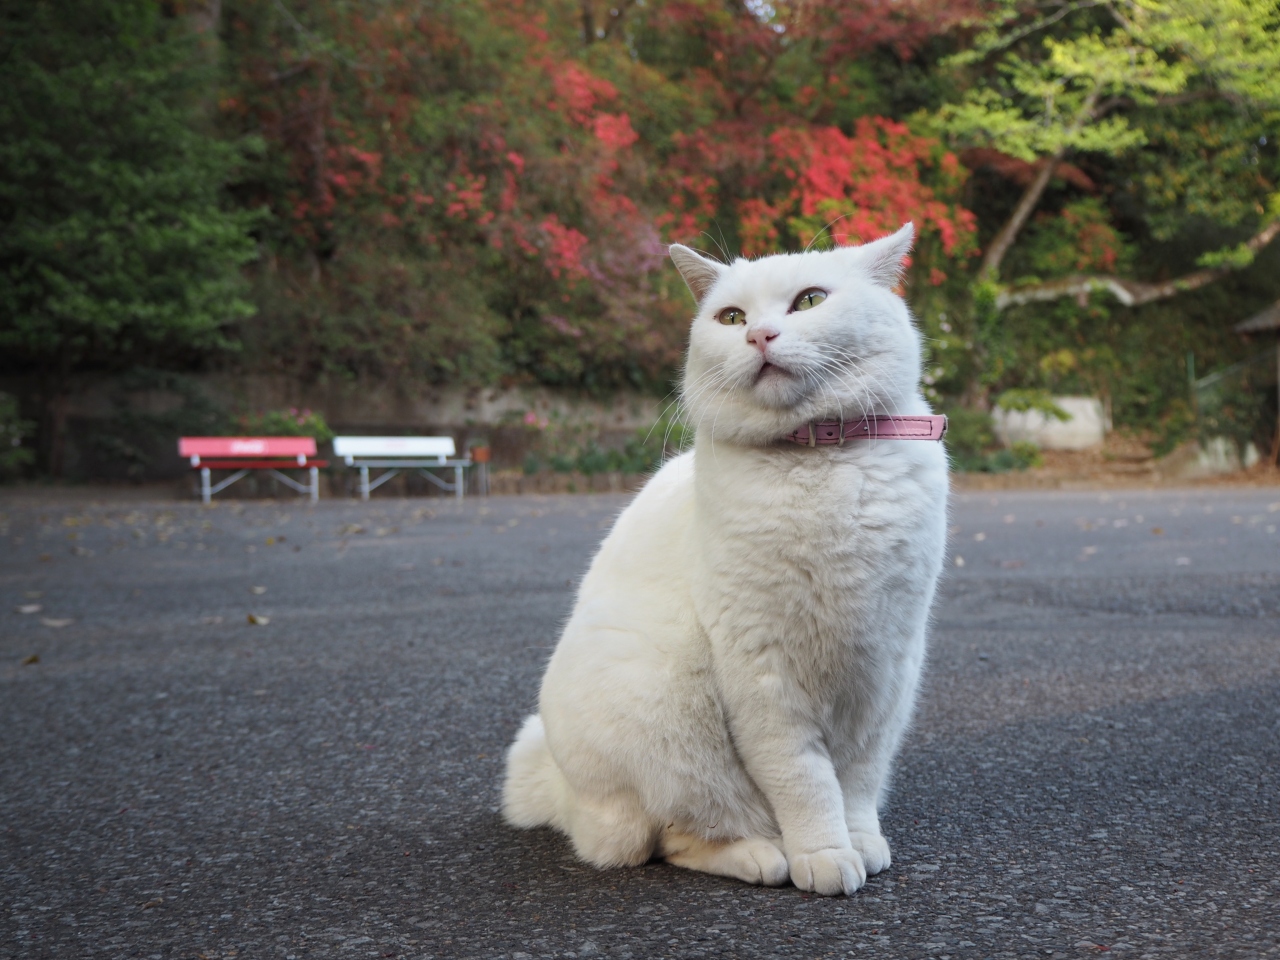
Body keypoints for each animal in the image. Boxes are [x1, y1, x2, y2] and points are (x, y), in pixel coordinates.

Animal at [504, 224, 947, 896]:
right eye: (732, 317)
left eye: (809, 301)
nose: (759, 335)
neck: (818, 464)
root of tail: (562, 790)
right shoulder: (762, 669)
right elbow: (805, 781)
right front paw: (824, 856)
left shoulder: (887, 666)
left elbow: (860, 779)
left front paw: (862, 842)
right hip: (666, 716)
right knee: (664, 840)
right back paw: (762, 855)